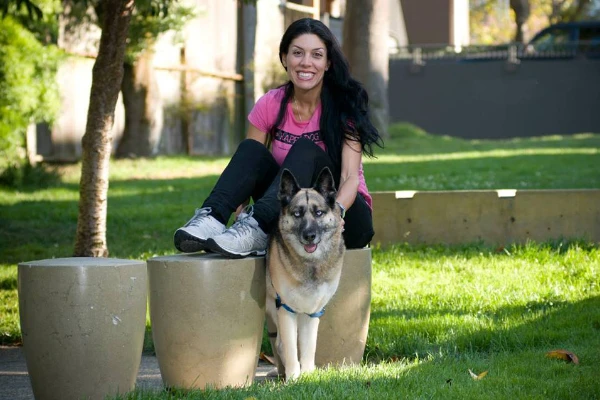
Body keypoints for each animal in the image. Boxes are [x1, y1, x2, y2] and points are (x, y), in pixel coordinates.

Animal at [264, 167, 344, 380]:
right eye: (297, 214)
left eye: (319, 213)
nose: (309, 236)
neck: (310, 265)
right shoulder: (286, 309)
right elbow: (290, 348)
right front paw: (293, 378)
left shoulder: (312, 311)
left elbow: (309, 346)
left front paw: (308, 376)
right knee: (280, 344)